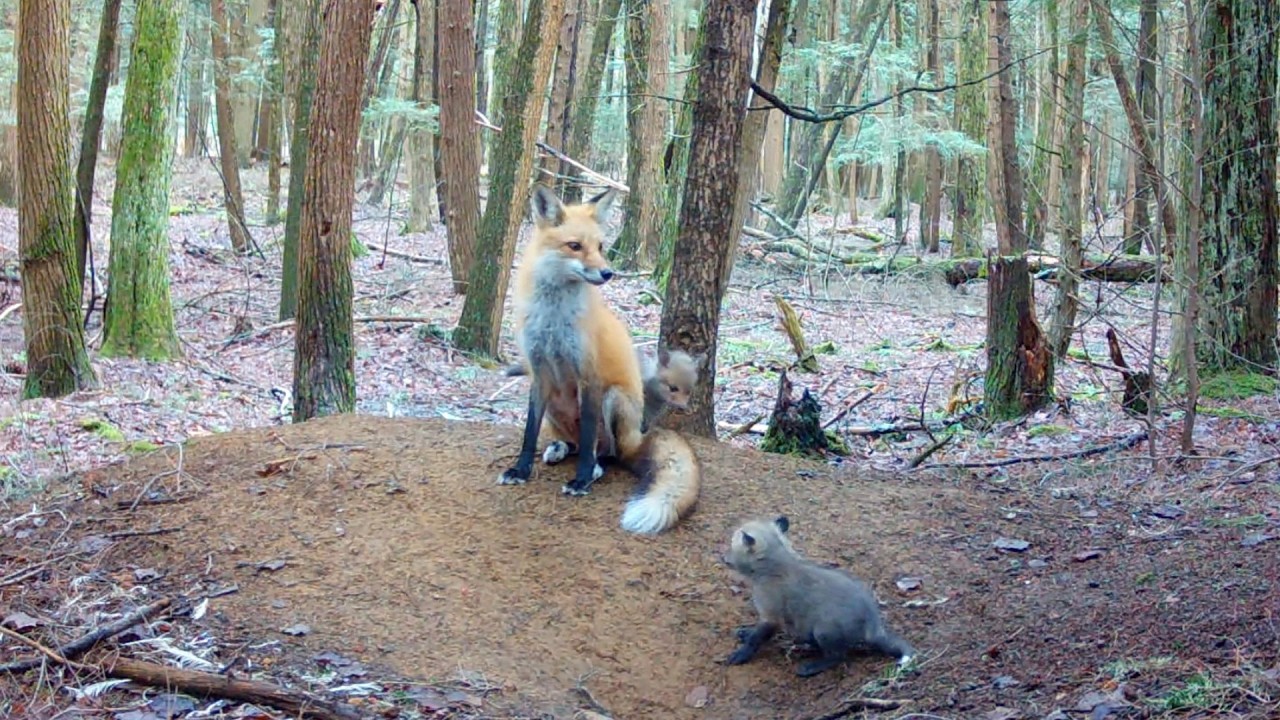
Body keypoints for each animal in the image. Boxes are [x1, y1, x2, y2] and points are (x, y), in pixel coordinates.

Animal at [499, 185, 701, 534]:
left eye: (601, 247)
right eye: (575, 246)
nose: (608, 272)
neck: (554, 319)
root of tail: (639, 437)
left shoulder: (589, 377)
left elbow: (590, 432)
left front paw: (580, 480)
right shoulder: (538, 372)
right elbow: (528, 432)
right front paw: (520, 470)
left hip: (614, 398)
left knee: (607, 452)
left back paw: (595, 468)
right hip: (555, 403)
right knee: (576, 443)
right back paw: (558, 448)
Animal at [721, 516, 916, 677]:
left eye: (731, 546)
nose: (721, 557)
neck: (773, 567)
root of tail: (874, 627)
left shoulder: (771, 616)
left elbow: (756, 638)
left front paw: (741, 654)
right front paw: (744, 633)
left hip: (823, 631)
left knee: (838, 656)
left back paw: (811, 666)